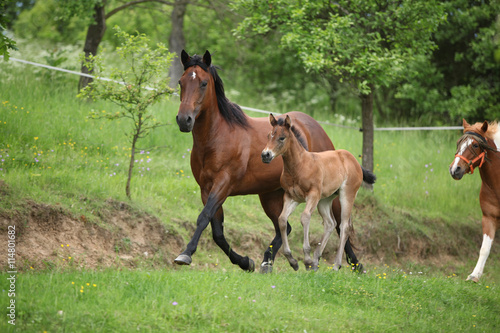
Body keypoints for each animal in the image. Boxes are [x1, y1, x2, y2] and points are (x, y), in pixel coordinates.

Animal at [174, 50, 362, 272]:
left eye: (203, 83)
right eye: (181, 82)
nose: (184, 120)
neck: (217, 138)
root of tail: (316, 126)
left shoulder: (223, 185)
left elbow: (203, 218)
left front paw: (185, 254)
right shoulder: (206, 189)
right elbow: (217, 232)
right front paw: (246, 262)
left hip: (332, 192)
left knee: (341, 225)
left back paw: (354, 264)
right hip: (271, 195)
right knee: (285, 226)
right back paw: (268, 261)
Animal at [262, 114, 376, 270]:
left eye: (281, 138)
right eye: (269, 135)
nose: (265, 155)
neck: (300, 166)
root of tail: (353, 160)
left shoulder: (313, 195)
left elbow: (305, 217)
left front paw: (306, 258)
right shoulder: (291, 197)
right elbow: (282, 219)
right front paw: (292, 260)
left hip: (347, 195)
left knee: (344, 226)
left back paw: (335, 265)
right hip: (325, 200)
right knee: (330, 223)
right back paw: (316, 261)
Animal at [450, 118, 500, 280]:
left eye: (476, 145)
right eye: (458, 143)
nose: (455, 169)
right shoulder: (489, 218)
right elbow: (484, 248)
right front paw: (474, 275)